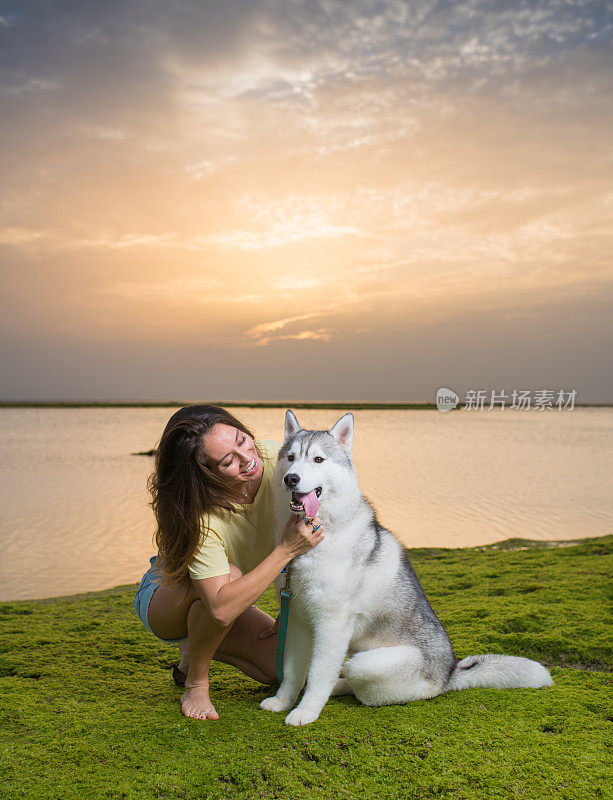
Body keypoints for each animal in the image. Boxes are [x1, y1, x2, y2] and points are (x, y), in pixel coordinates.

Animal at [260, 410, 552, 728]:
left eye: (318, 459)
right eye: (290, 457)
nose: (291, 478)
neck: (314, 540)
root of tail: (449, 673)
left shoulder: (332, 625)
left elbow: (317, 674)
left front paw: (307, 711)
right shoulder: (297, 619)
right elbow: (291, 671)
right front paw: (283, 701)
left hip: (366, 663)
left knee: (359, 681)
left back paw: (339, 688)